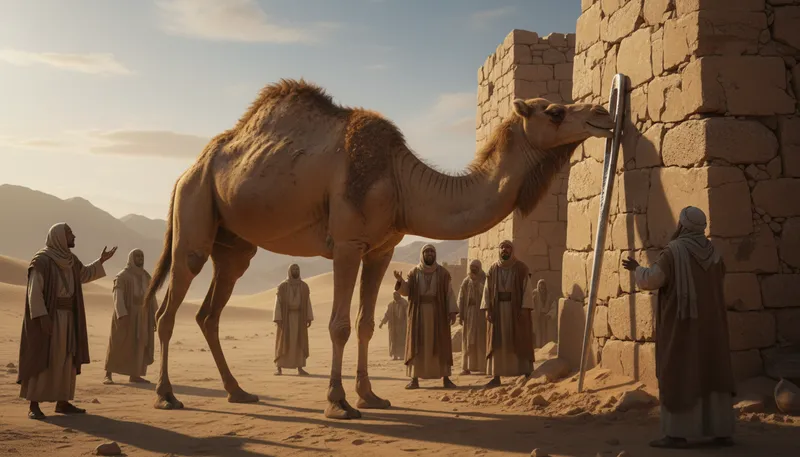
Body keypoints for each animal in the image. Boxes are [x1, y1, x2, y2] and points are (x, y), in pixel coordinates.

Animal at [145, 78, 614, 419]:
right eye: (554, 111)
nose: (602, 113)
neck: (402, 182)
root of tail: (188, 169)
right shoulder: (348, 243)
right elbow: (338, 325)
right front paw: (338, 403)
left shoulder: (381, 250)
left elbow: (366, 323)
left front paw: (370, 396)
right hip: (193, 212)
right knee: (168, 308)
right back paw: (166, 395)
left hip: (233, 244)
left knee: (210, 311)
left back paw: (238, 391)